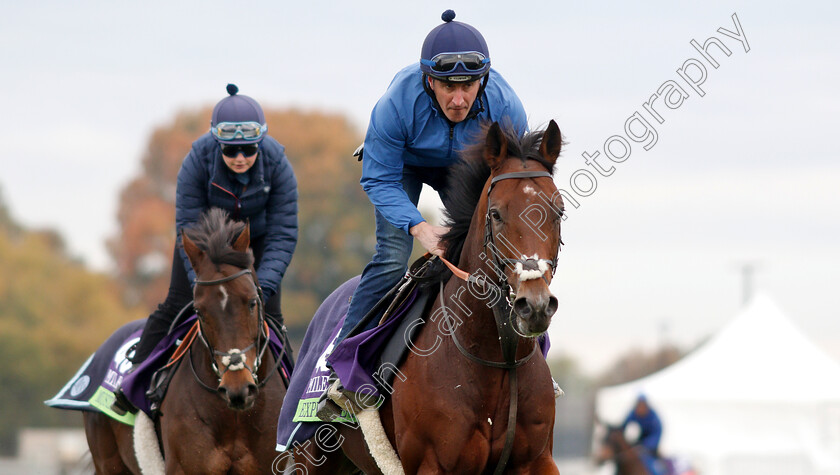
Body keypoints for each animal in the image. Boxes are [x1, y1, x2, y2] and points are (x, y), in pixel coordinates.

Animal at [83, 210, 286, 474]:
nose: (238, 388)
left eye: (252, 302)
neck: (234, 418)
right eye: (199, 311)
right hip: (108, 461)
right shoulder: (187, 465)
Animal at [288, 121, 564, 474]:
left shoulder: (537, 460)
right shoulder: (434, 463)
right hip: (310, 454)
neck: (497, 357)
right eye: (496, 214)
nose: (535, 305)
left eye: (558, 211)